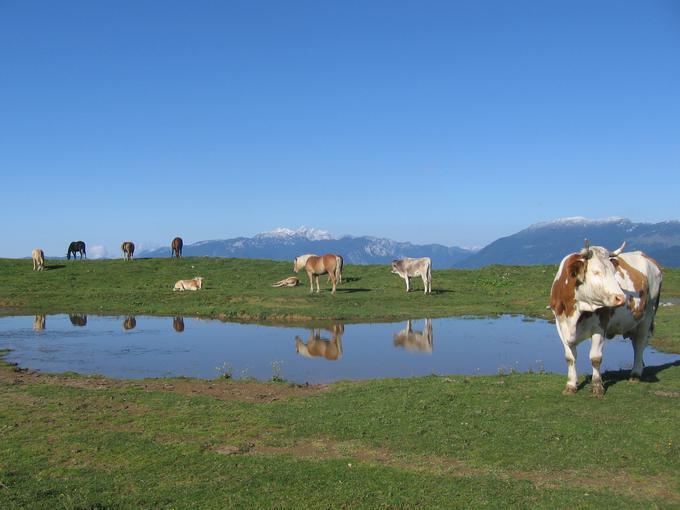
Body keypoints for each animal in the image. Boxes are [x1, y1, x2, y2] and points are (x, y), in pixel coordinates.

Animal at [548, 241, 664, 396]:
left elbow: (595, 358)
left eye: (613, 272)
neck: (575, 311)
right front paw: (571, 386)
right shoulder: (560, 325)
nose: (621, 297)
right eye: (596, 272)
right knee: (636, 344)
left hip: (648, 316)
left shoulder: (600, 326)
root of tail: (646, 257)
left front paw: (597, 387)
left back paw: (635, 373)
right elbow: (570, 357)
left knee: (640, 344)